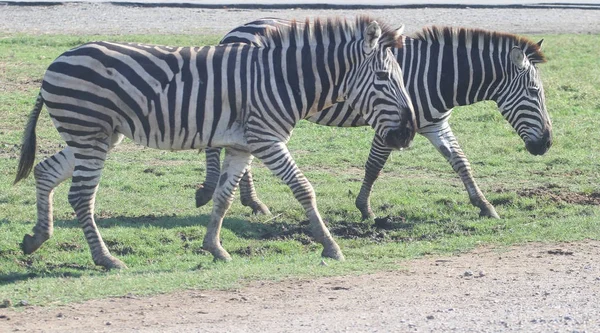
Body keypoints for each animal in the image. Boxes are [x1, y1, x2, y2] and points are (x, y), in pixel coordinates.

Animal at [14, 16, 418, 268]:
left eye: (401, 76)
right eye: (384, 78)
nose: (408, 133)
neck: (285, 79)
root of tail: (57, 60)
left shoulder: (243, 145)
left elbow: (224, 197)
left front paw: (215, 249)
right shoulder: (266, 138)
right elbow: (304, 189)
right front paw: (331, 247)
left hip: (93, 135)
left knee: (47, 171)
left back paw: (36, 238)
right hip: (90, 133)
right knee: (81, 196)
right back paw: (105, 259)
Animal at [195, 19, 552, 219]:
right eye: (535, 92)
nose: (547, 144)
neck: (438, 75)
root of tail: (234, 30)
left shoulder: (435, 124)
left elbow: (461, 162)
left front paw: (484, 205)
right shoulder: (391, 123)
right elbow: (374, 165)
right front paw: (364, 208)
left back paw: (252, 202)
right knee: (215, 142)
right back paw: (210, 191)